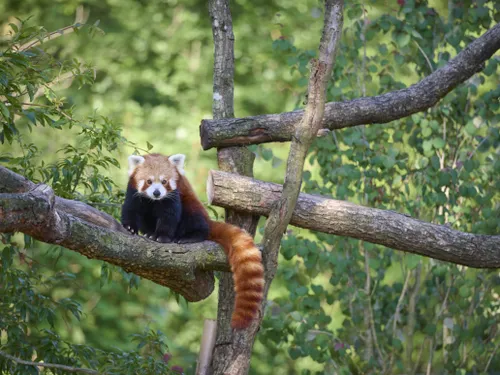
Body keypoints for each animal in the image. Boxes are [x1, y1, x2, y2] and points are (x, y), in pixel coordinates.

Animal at [121, 153, 266, 328]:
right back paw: (149, 232)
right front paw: (130, 228)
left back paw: (190, 237)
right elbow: (131, 209)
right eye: (149, 181)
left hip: (192, 207)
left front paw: (161, 236)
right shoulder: (133, 192)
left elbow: (169, 217)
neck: (154, 201)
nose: (157, 193)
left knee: (196, 222)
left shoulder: (174, 196)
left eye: (164, 181)